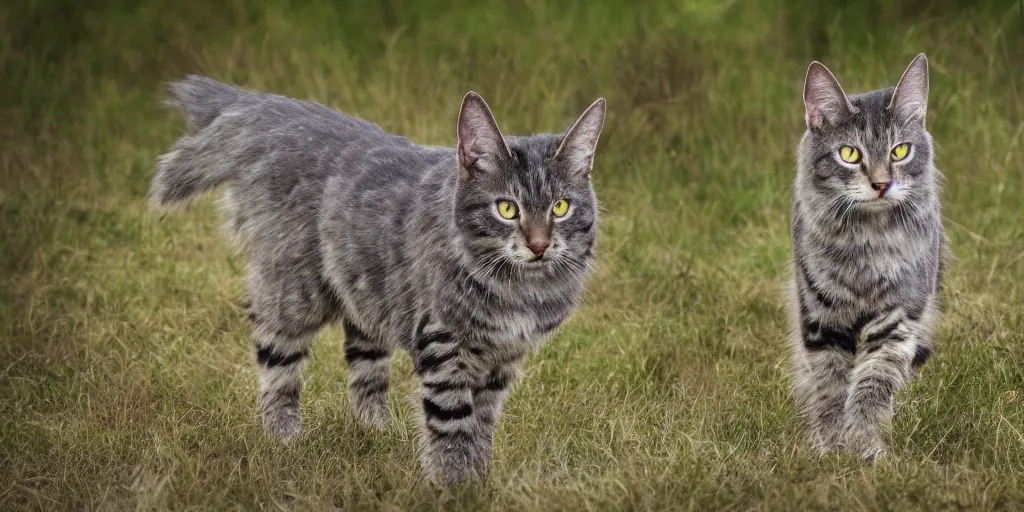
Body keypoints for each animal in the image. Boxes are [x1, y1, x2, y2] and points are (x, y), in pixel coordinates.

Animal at [148, 76, 602, 483]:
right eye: (507, 209)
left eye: (560, 207)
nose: (539, 245)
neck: (520, 292)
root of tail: (281, 113)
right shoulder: (445, 345)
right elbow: (453, 424)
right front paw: (456, 487)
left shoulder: (501, 361)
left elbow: (481, 427)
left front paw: (480, 478)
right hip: (294, 294)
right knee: (277, 367)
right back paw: (285, 440)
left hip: (368, 293)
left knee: (363, 369)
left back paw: (377, 433)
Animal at [786, 54, 946, 458]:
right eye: (849, 154)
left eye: (900, 151)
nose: (881, 184)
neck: (866, 245)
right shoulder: (822, 319)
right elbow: (830, 387)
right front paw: (830, 446)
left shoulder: (896, 318)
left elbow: (872, 386)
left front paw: (864, 444)